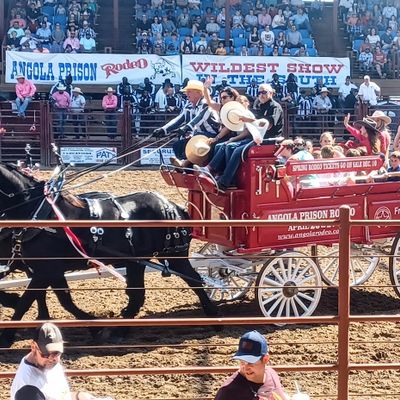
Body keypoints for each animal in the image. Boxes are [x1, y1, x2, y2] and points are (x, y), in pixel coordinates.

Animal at [0, 162, 218, 346]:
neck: (38, 212)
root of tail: (174, 206)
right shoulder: (45, 269)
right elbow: (60, 299)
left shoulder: (46, 268)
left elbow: (29, 301)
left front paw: (7, 336)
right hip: (138, 261)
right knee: (138, 295)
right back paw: (122, 329)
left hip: (173, 256)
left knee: (194, 281)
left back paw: (213, 316)